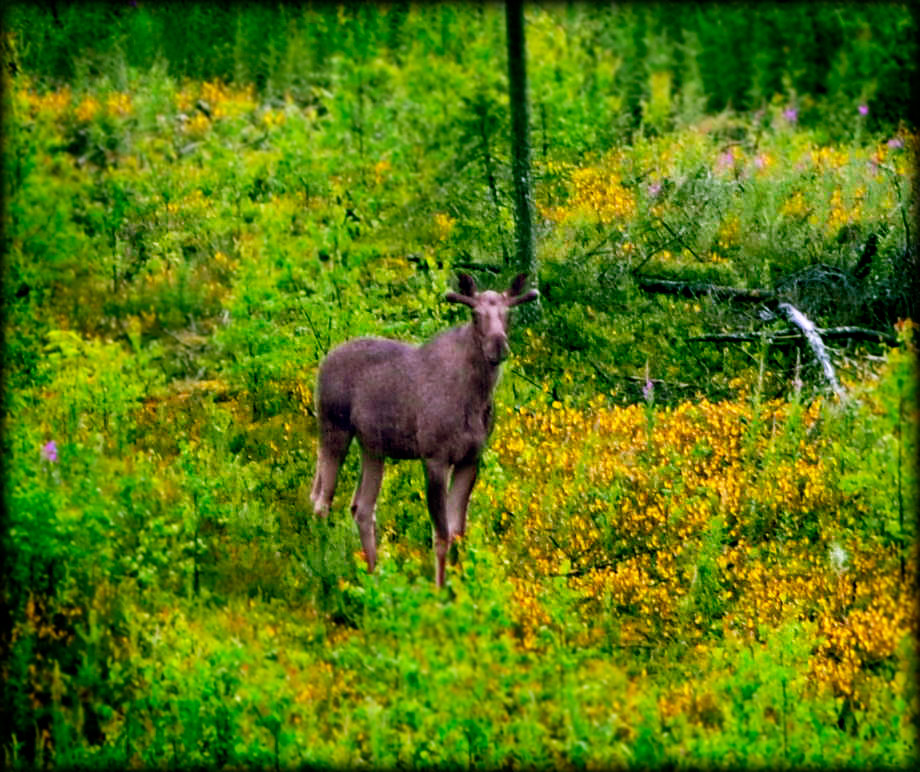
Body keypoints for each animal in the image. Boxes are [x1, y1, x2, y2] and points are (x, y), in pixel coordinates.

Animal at [310, 272, 540, 584]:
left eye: (508, 313)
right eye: (475, 314)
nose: (498, 345)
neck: (476, 396)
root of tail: (322, 364)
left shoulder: (471, 459)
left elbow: (458, 533)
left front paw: (458, 587)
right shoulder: (434, 458)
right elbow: (441, 535)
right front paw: (440, 588)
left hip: (372, 447)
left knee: (361, 508)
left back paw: (375, 575)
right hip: (334, 429)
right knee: (322, 500)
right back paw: (323, 571)